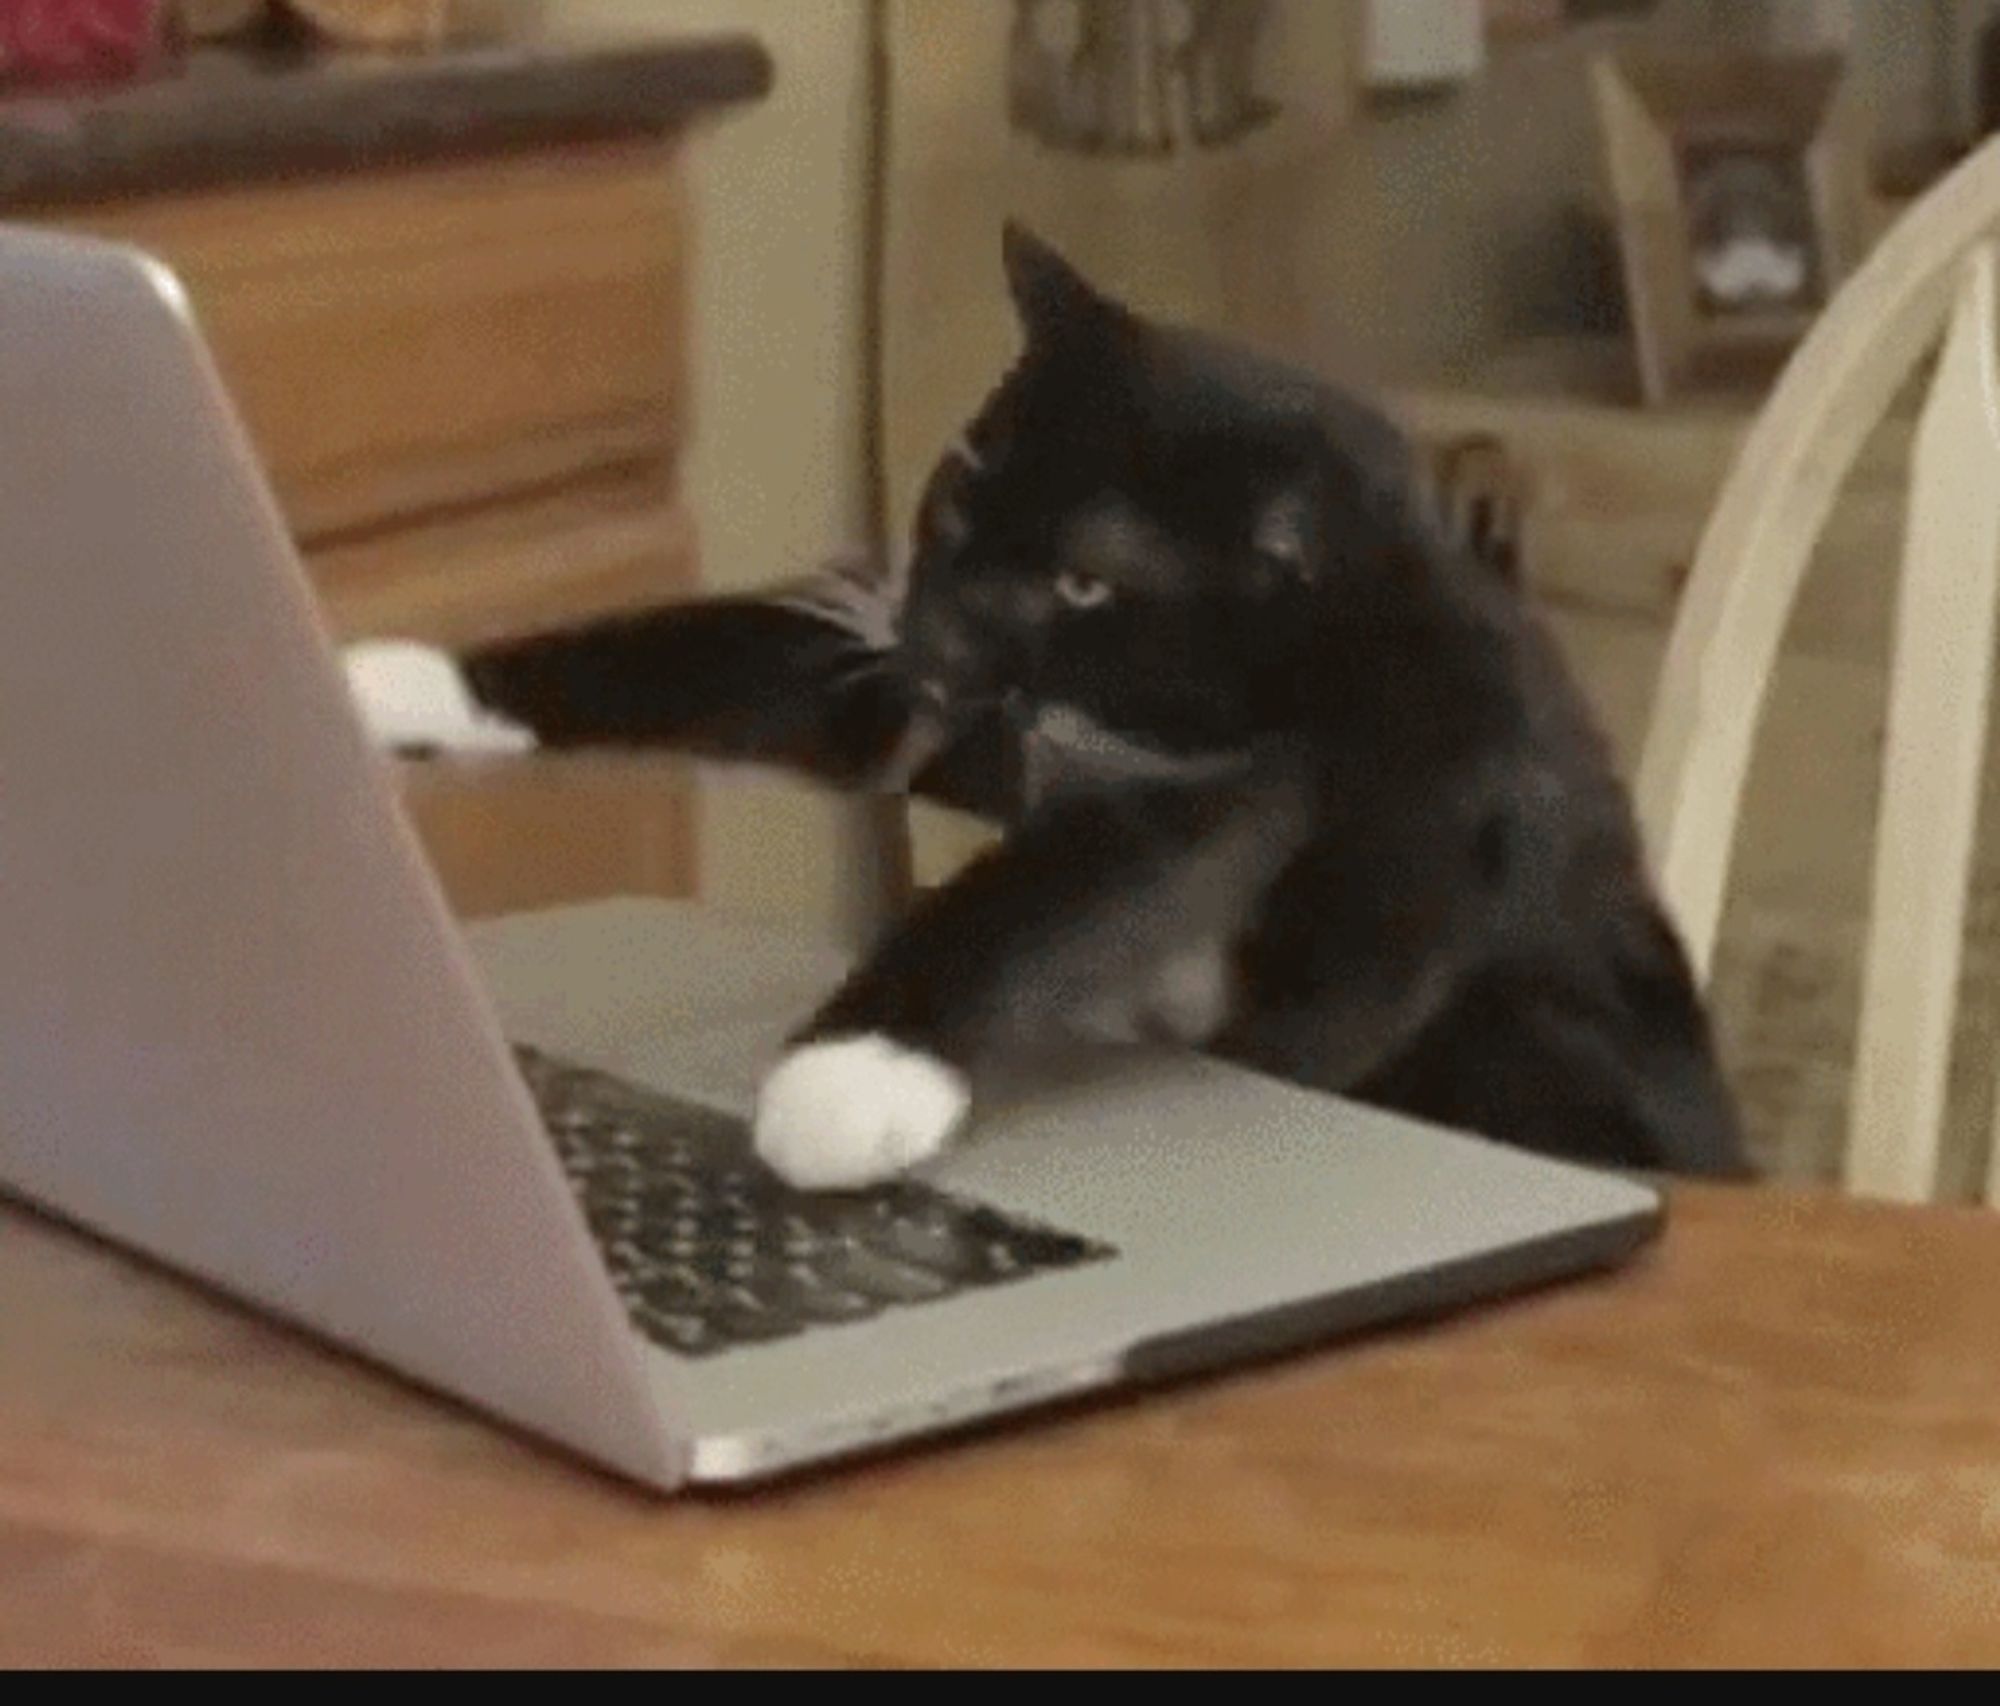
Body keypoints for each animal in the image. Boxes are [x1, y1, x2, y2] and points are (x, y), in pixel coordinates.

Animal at [454, 223, 1752, 1184]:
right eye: (958, 501)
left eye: (1083, 582)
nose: (936, 633)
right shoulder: (961, 719)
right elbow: (741, 650)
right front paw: (419, 686)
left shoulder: (1301, 799)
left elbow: (1040, 890)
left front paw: (850, 1079)